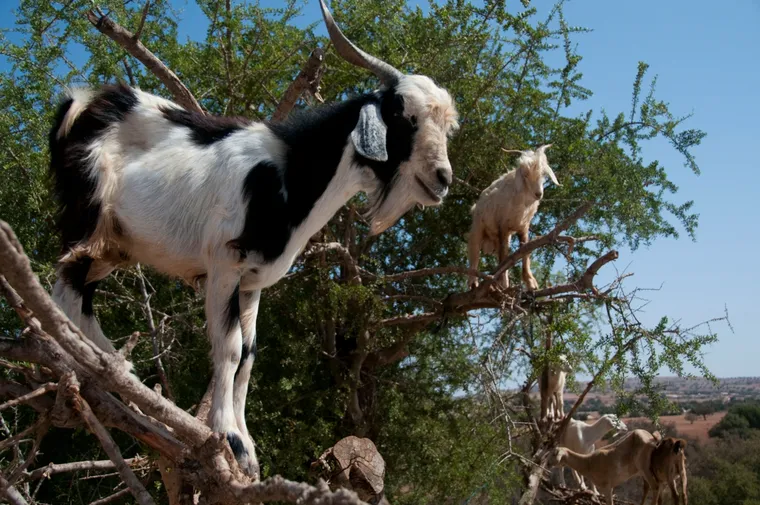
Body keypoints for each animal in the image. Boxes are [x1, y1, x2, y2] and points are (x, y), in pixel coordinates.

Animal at [47, 0, 458, 478]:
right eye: (402, 115)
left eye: (446, 126)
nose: (442, 179)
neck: (289, 175)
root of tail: (80, 102)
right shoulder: (226, 264)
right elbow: (227, 349)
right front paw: (231, 439)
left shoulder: (253, 281)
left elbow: (248, 355)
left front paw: (249, 444)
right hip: (88, 219)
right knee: (65, 288)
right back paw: (104, 369)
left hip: (116, 245)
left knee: (77, 291)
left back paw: (114, 371)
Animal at [467, 145, 558, 290]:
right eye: (525, 174)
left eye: (543, 174)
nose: (538, 194)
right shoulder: (503, 225)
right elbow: (504, 255)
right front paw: (504, 283)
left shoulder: (523, 227)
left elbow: (525, 252)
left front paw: (530, 282)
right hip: (478, 226)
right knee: (475, 252)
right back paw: (473, 282)